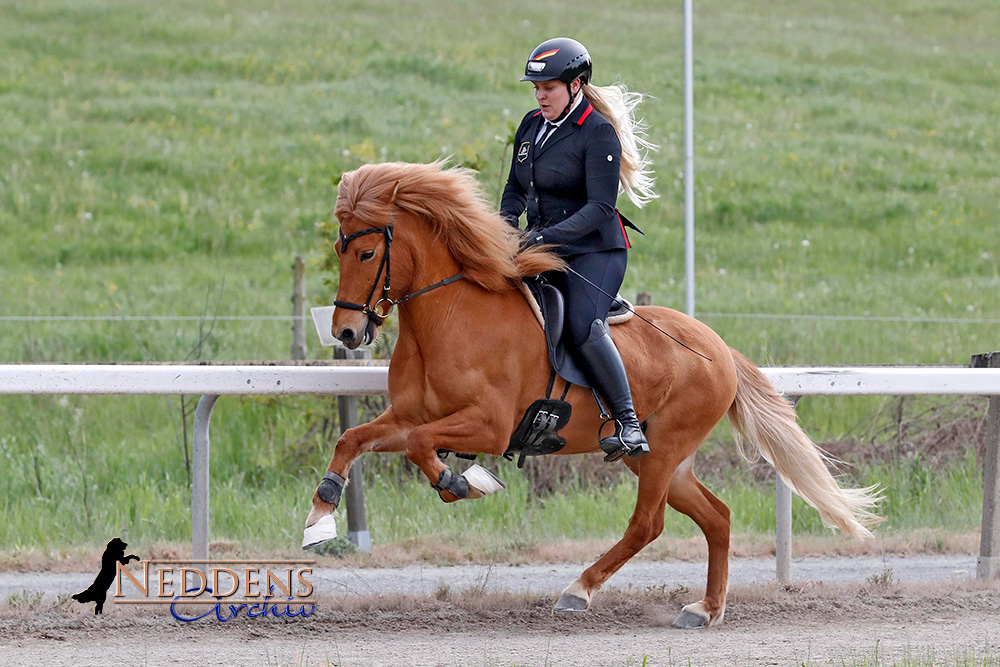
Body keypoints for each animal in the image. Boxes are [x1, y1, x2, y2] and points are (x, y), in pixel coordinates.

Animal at [302, 160, 876, 628]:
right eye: (337, 248)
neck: (449, 317)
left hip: (661, 452)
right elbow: (354, 440)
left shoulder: (488, 425)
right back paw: (705, 609)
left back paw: (579, 590)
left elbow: (425, 447)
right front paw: (320, 514)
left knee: (647, 524)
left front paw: (460, 482)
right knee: (717, 516)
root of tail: (719, 347)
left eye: (368, 251)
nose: (347, 332)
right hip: (663, 461)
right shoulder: (407, 416)